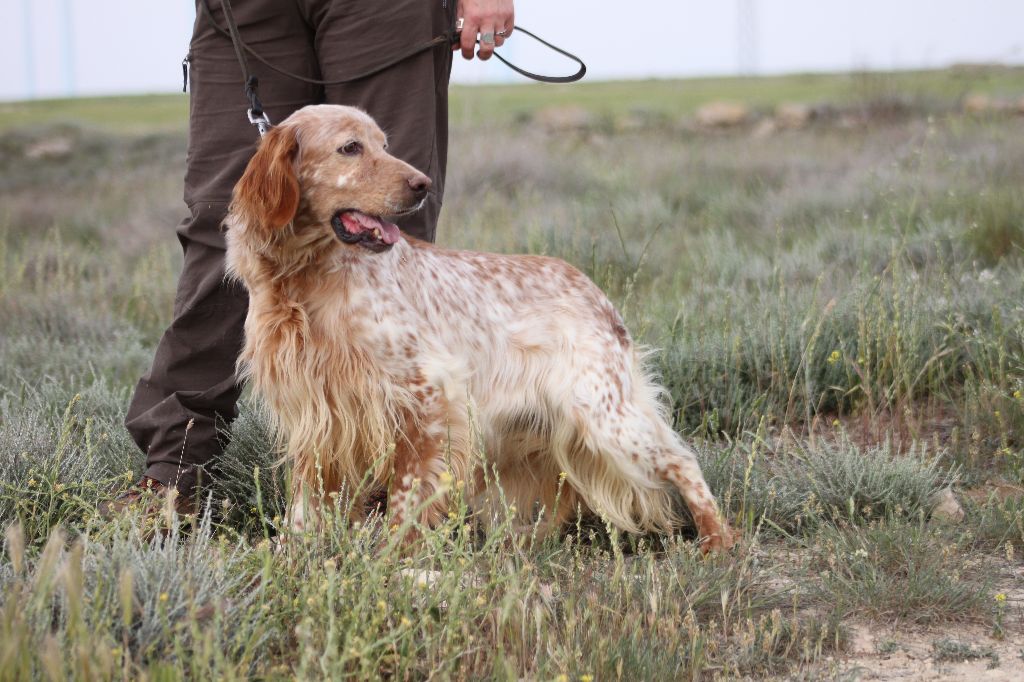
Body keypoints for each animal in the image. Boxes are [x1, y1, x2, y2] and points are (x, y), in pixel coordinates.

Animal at [227, 104, 733, 552]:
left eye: (384, 145)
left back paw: (717, 540)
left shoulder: (430, 395)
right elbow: (304, 501)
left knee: (682, 461)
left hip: (606, 416)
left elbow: (406, 500)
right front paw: (291, 552)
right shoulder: (315, 410)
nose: (422, 184)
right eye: (350, 147)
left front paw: (392, 560)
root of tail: (595, 292)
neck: (306, 278)